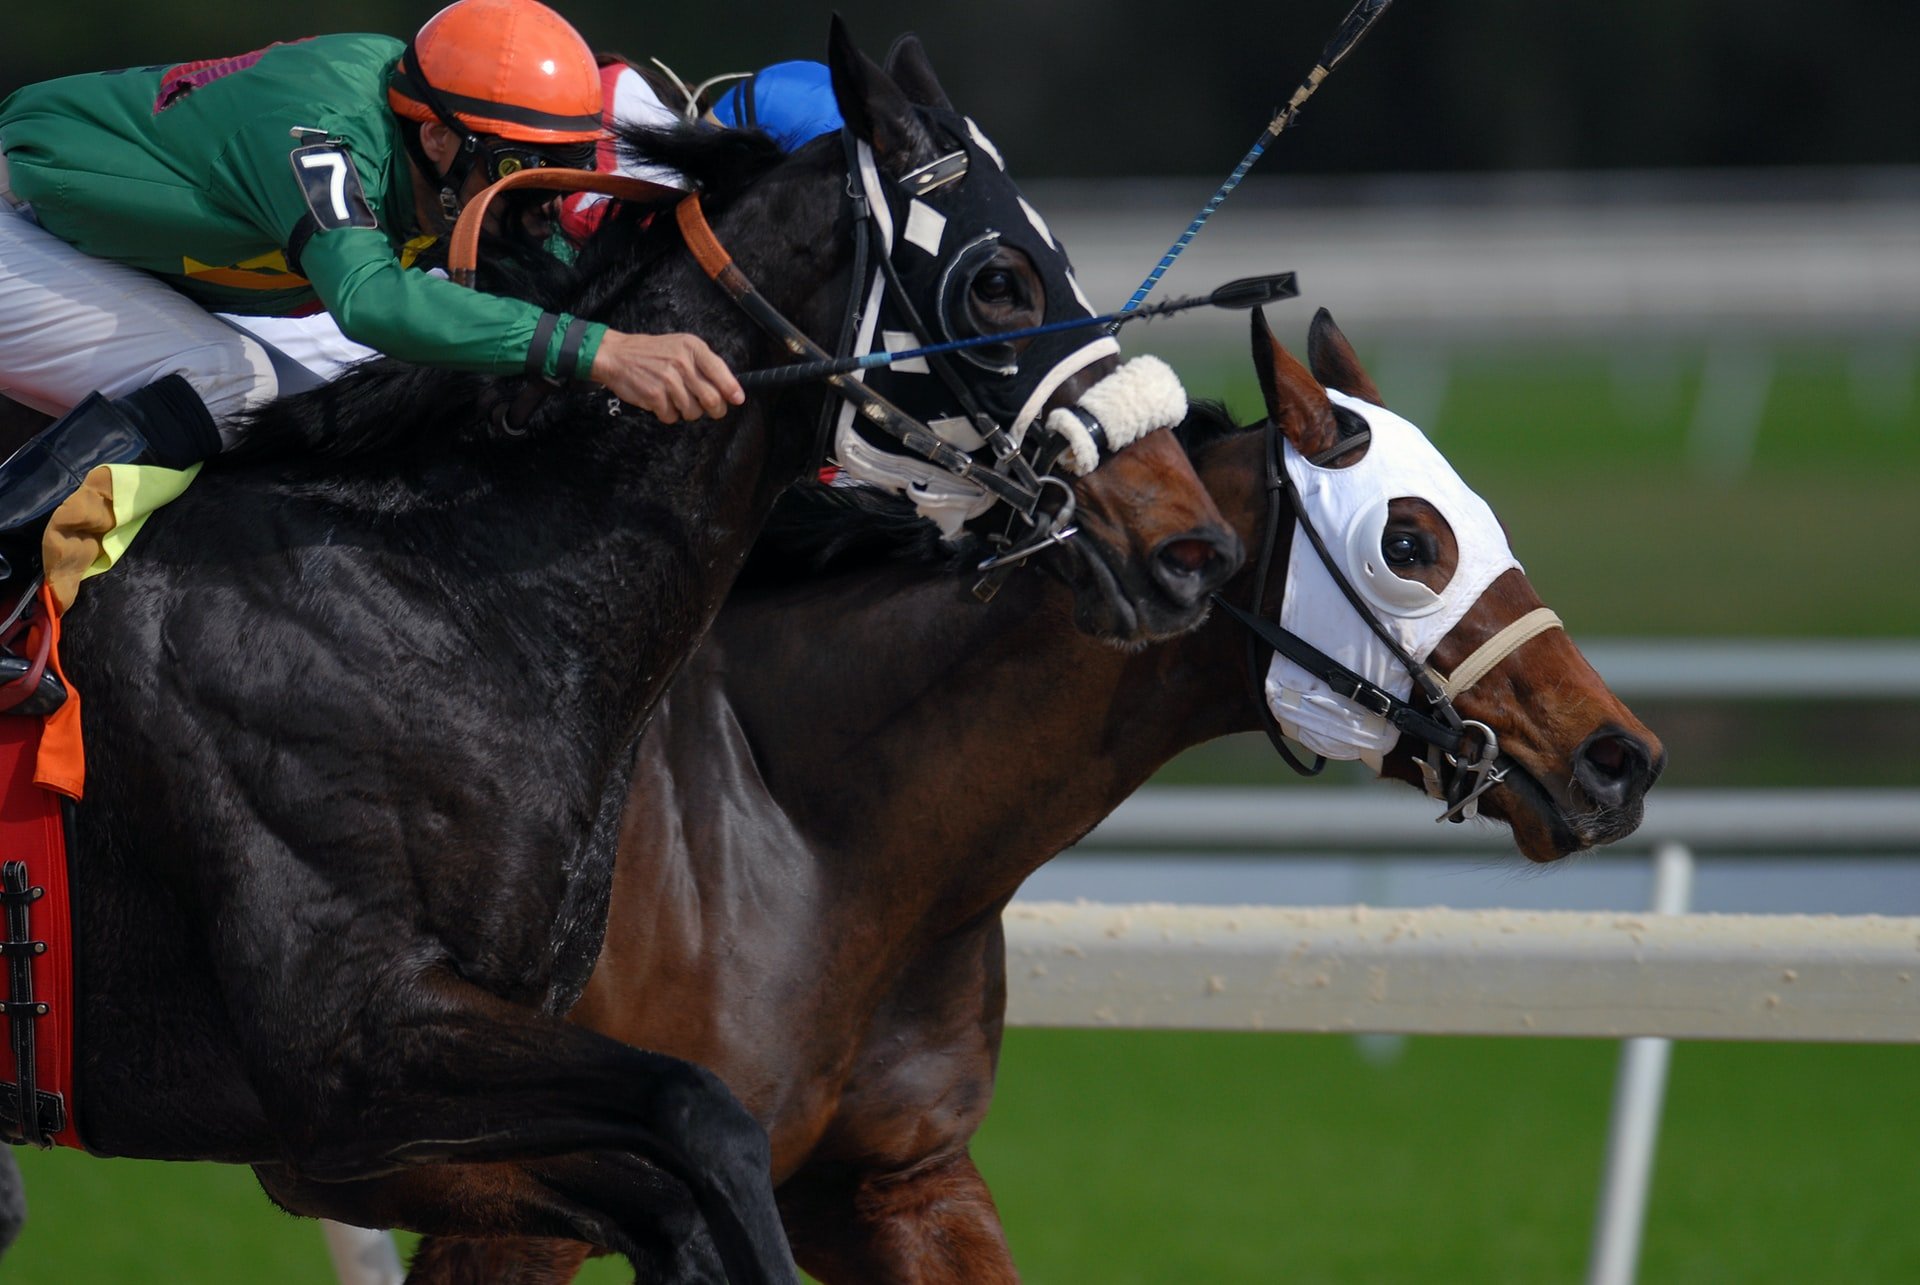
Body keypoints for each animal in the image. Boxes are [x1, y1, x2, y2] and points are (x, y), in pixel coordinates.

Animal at [7, 22, 1236, 1283]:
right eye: (997, 279)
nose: (1188, 546)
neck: (446, 594)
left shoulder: (408, 1116)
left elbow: (679, 1191)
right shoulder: (347, 1056)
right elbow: (705, 1117)